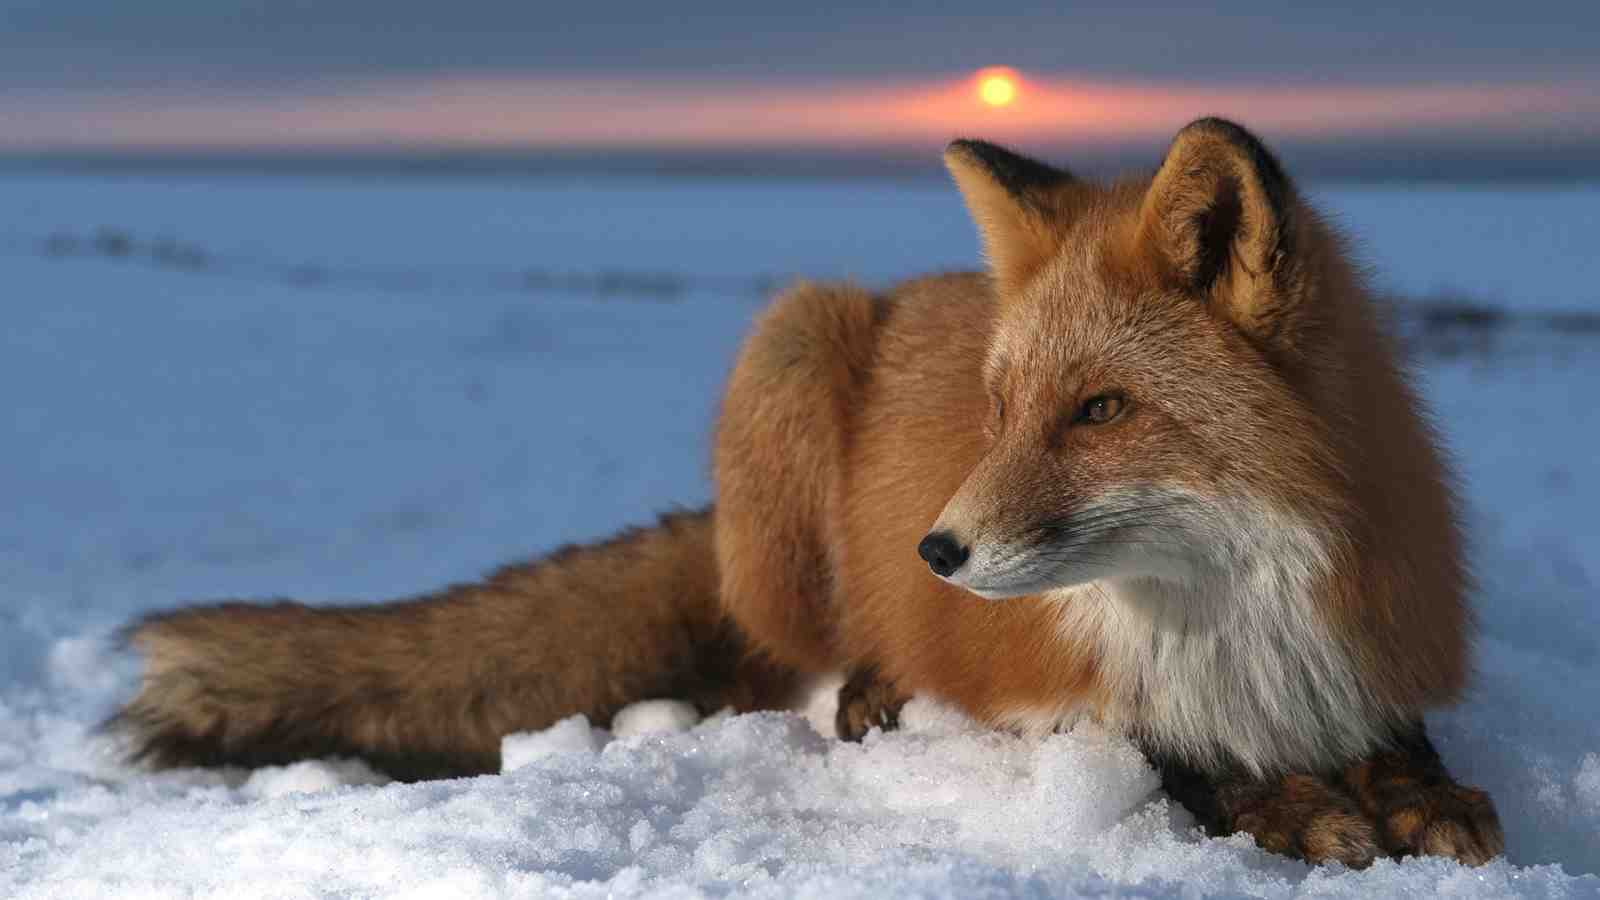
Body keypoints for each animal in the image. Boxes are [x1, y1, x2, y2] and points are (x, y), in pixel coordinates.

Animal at [110, 118, 1502, 868]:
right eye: (999, 411)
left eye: (1101, 410)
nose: (936, 551)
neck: (1233, 625)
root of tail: (909, 288)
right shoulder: (1059, 698)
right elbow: (1175, 762)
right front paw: (1297, 810)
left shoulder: (1368, 654)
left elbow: (1406, 746)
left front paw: (1417, 797)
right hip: (789, 345)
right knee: (774, 662)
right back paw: (865, 689)